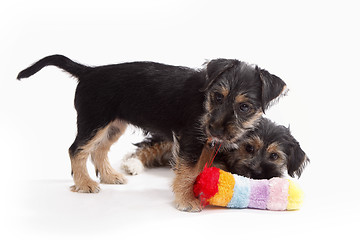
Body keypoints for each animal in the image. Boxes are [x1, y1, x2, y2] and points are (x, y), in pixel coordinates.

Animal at [17, 54, 286, 212]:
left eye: (244, 107)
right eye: (218, 97)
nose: (215, 128)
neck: (204, 101)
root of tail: (88, 71)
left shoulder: (204, 142)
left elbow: (199, 168)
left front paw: (196, 190)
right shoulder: (191, 139)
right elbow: (189, 170)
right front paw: (186, 199)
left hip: (114, 125)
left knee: (99, 149)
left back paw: (109, 176)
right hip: (94, 121)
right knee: (77, 149)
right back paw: (85, 183)